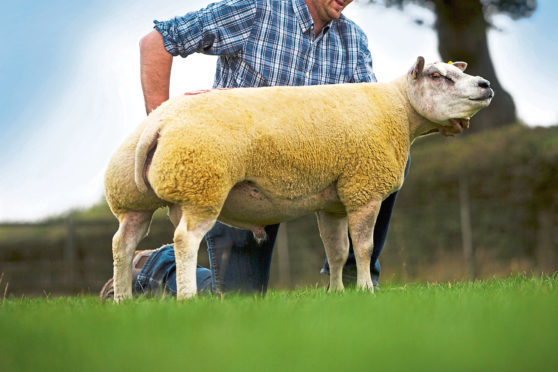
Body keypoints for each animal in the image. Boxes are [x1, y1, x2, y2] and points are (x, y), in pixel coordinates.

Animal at [105, 56, 494, 300]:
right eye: (437, 76)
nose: (486, 85)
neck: (396, 109)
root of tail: (158, 123)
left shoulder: (333, 203)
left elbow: (336, 252)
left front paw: (337, 293)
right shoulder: (363, 188)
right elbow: (363, 248)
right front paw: (365, 289)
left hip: (133, 199)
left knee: (122, 243)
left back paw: (123, 299)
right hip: (202, 186)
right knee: (185, 240)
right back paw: (187, 298)